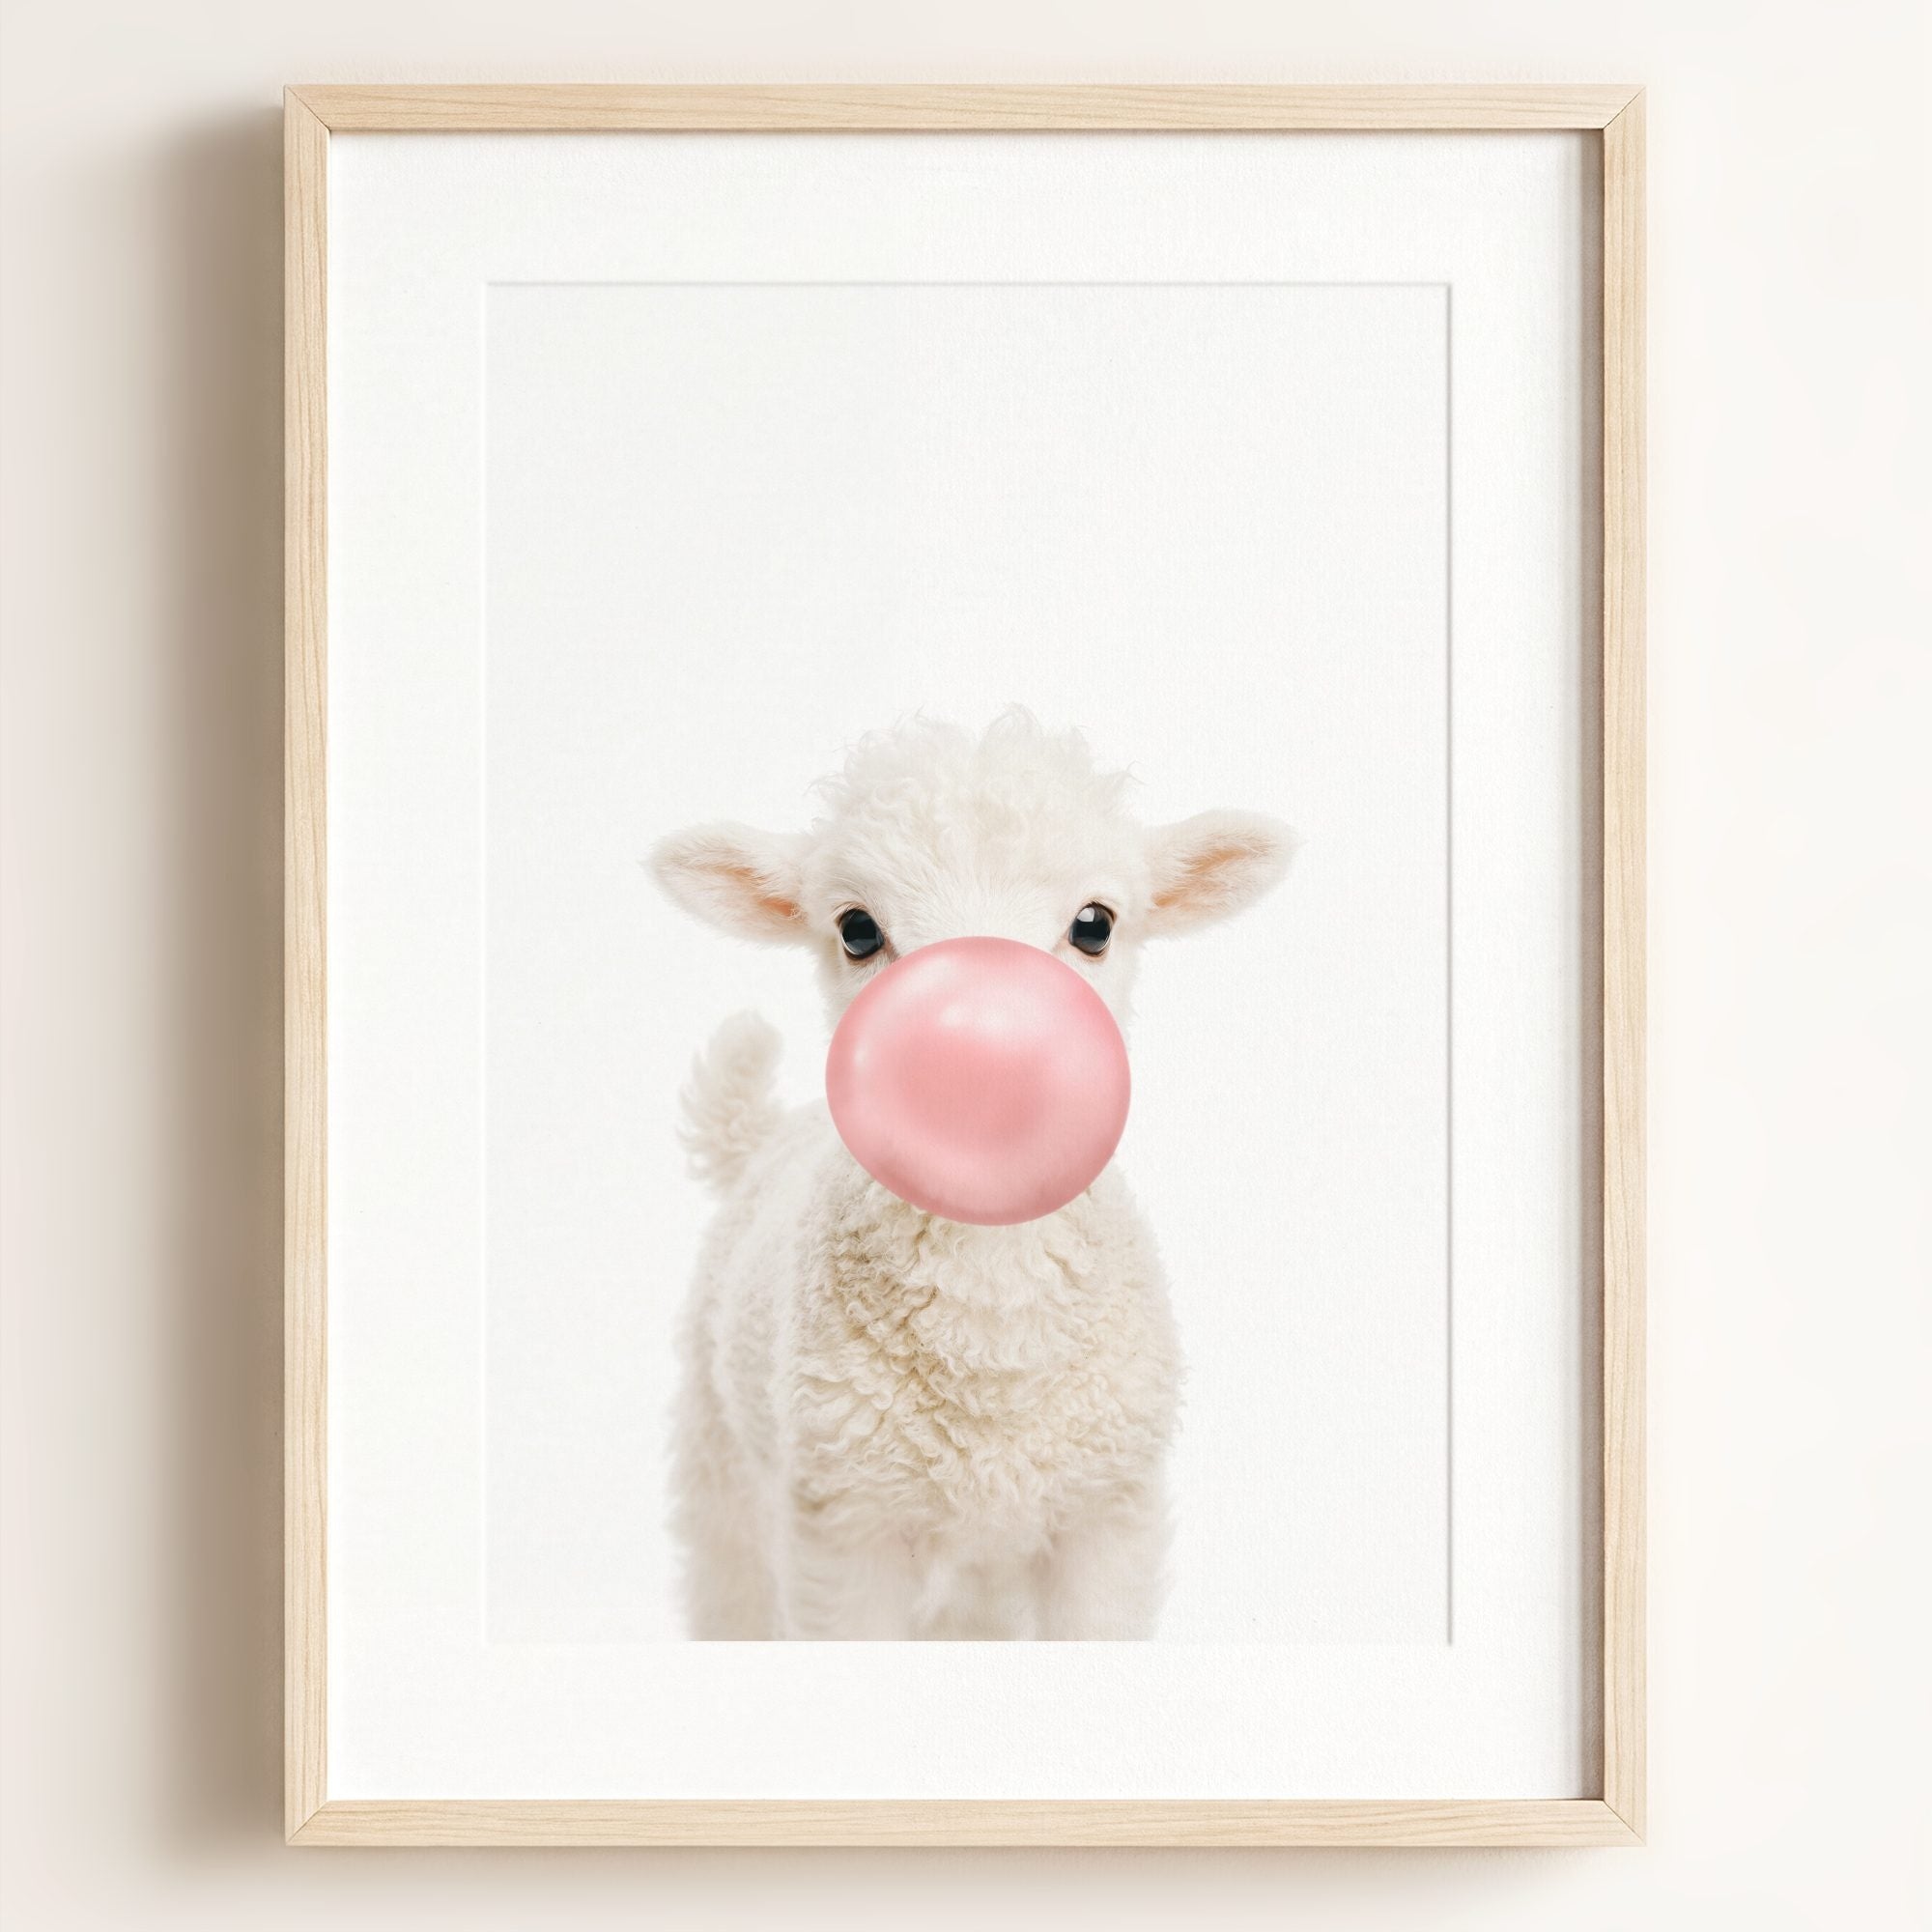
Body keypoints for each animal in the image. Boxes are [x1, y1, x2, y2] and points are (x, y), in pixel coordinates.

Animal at [650, 711, 1292, 1639]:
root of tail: (766, 1134)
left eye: (1095, 924)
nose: (980, 1054)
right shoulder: (844, 1529)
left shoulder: (1106, 1516)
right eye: (856, 930)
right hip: (723, 1467)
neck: (993, 1347)